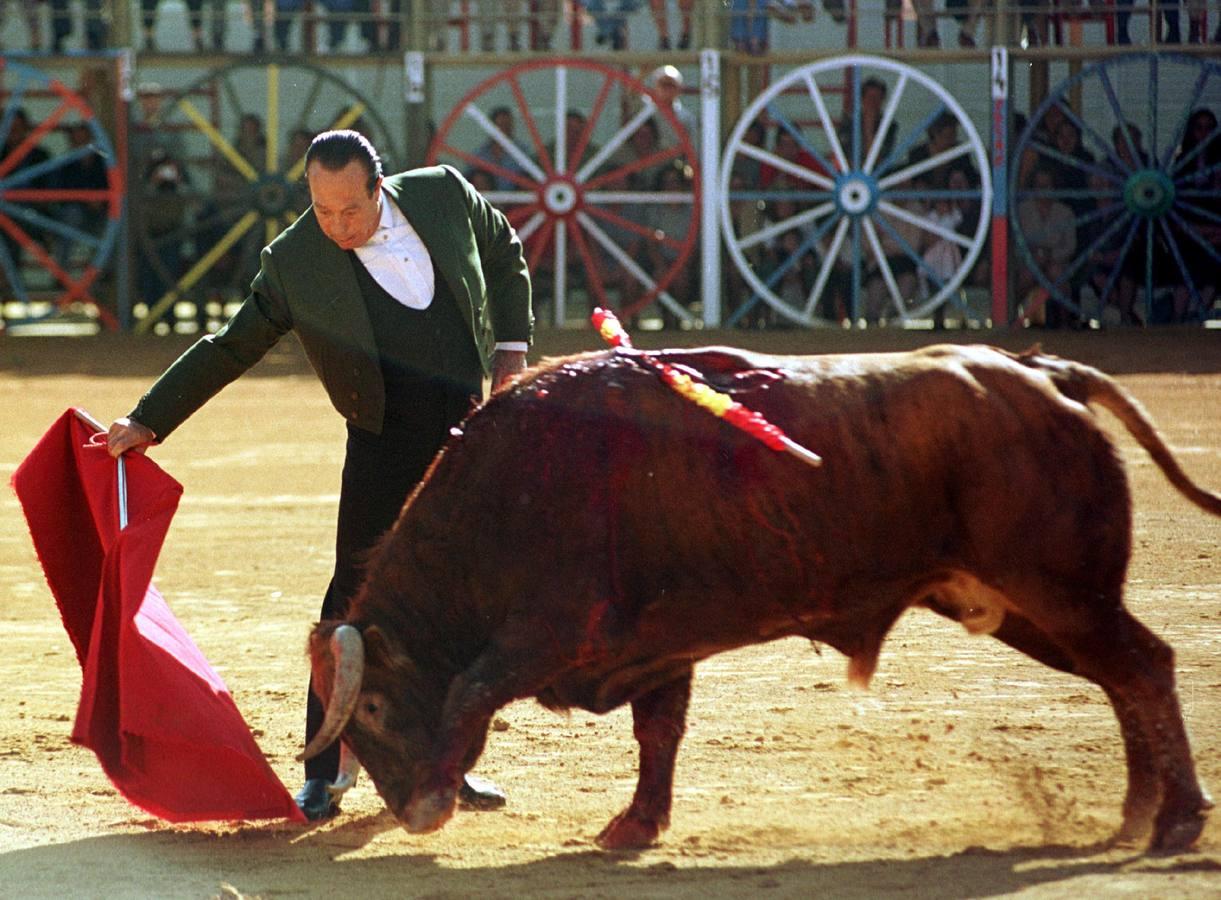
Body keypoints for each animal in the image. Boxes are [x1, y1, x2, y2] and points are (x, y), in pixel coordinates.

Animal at [300, 341, 1216, 849]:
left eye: (371, 708)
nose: (409, 809)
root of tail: (1043, 372)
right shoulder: (658, 646)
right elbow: (658, 731)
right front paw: (635, 827)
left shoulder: (555, 629)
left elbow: (470, 688)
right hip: (1033, 605)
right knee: (1119, 675)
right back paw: (1136, 811)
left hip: (1055, 588)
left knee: (1141, 667)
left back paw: (1172, 821)